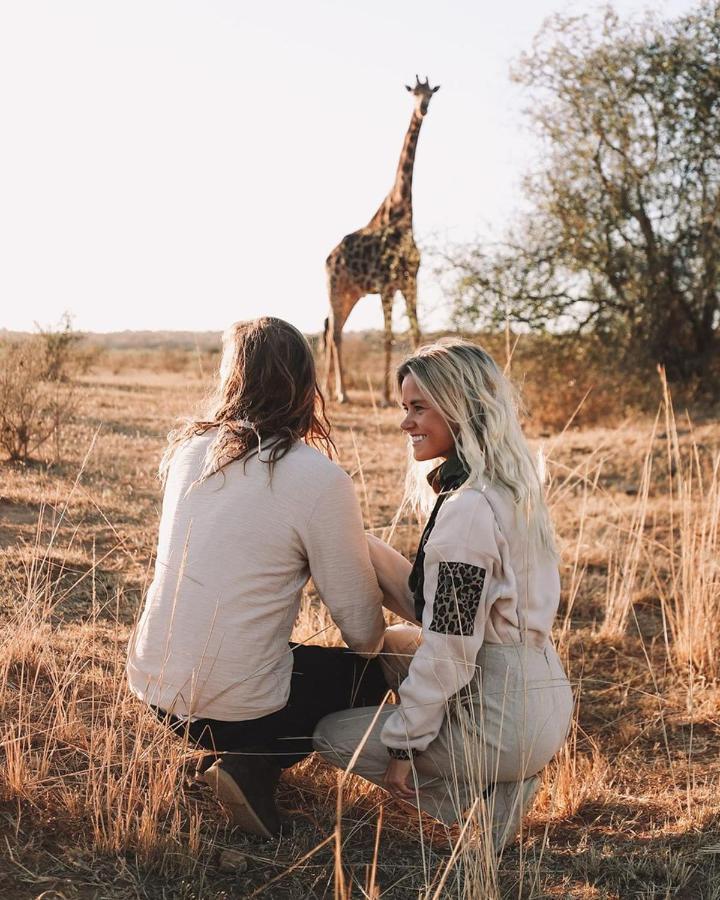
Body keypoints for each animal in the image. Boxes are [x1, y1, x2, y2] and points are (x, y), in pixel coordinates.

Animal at [324, 74, 438, 404]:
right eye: (414, 93)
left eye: (431, 94)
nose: (423, 109)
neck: (403, 215)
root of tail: (328, 258)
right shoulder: (388, 286)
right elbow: (387, 336)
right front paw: (387, 396)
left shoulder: (411, 282)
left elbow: (415, 332)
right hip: (336, 287)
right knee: (335, 333)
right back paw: (341, 393)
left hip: (351, 293)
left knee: (330, 330)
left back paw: (328, 389)